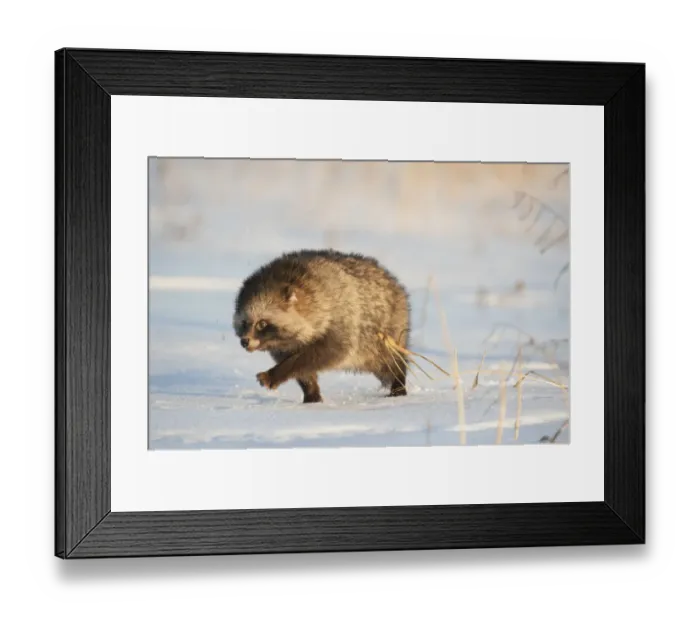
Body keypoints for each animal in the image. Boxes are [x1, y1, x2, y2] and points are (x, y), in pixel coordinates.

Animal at [233, 249, 411, 403]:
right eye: (244, 323)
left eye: (262, 323)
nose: (244, 341)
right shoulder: (283, 346)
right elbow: (303, 370)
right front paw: (311, 392)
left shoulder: (342, 317)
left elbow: (322, 354)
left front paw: (277, 373)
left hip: (386, 332)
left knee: (390, 361)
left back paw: (398, 383)